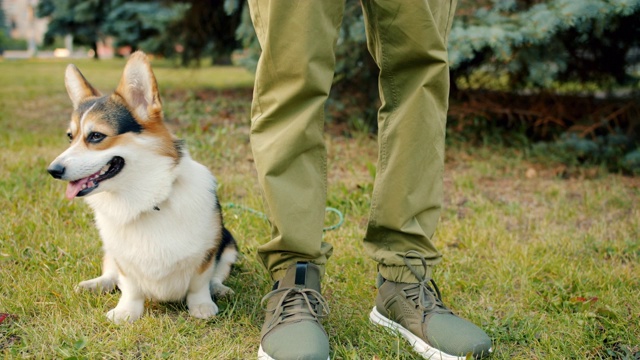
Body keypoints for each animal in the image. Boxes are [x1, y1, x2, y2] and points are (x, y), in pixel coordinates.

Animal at [47, 50, 238, 324]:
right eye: (70, 137)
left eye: (96, 136)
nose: (53, 170)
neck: (145, 200)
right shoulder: (123, 259)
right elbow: (129, 286)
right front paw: (126, 312)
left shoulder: (208, 250)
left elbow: (199, 283)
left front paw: (201, 306)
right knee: (110, 274)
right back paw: (96, 284)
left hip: (230, 242)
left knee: (217, 275)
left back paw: (219, 289)